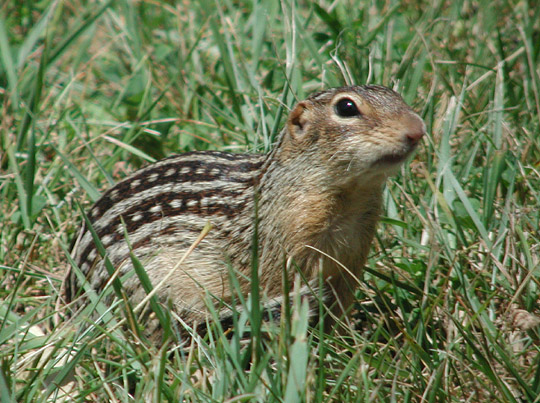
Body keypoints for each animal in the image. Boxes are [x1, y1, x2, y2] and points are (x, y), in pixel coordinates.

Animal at [63, 84, 426, 332]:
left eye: (395, 95)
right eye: (347, 107)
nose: (418, 129)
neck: (349, 200)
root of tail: (70, 303)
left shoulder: (353, 256)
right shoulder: (285, 253)